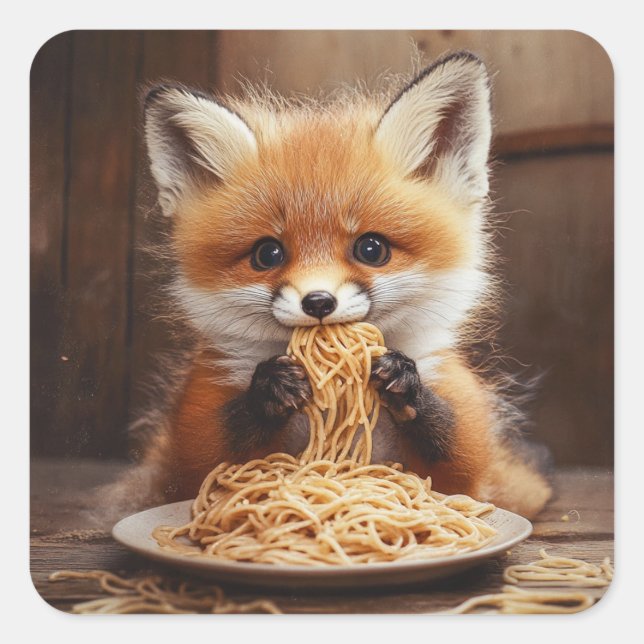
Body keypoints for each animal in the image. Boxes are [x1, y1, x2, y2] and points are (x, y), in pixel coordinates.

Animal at [107, 51, 552, 522]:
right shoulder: (197, 422)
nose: (318, 301)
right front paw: (270, 387)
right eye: (267, 254)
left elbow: (455, 458)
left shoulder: (461, 430)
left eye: (371, 248)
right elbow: (211, 460)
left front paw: (403, 377)